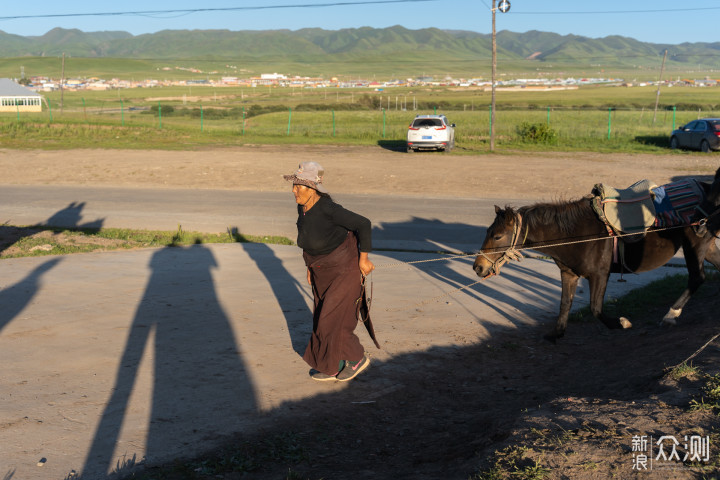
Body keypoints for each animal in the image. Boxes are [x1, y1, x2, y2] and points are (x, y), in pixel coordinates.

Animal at [472, 168, 720, 342]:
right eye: (488, 232)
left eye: (497, 236)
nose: (478, 267)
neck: (577, 233)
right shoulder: (569, 274)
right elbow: (565, 304)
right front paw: (556, 333)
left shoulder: (600, 275)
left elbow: (596, 309)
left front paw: (622, 323)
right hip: (707, 246)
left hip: (695, 245)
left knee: (697, 278)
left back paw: (670, 315)